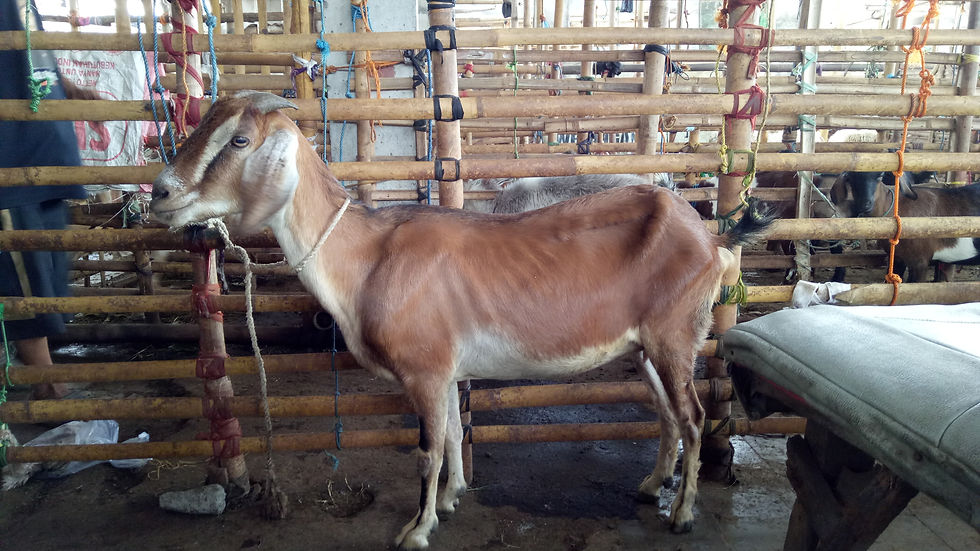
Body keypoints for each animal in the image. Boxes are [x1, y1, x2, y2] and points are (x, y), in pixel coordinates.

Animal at [149, 91, 774, 550]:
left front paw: (416, 528)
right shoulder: (446, 371)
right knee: (669, 414)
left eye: (239, 139)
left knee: (694, 417)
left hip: (674, 338)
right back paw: (650, 486)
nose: (159, 193)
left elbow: (427, 449)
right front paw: (450, 501)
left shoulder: (423, 369)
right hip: (648, 348)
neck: (367, 257)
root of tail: (711, 239)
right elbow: (452, 432)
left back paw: (683, 513)